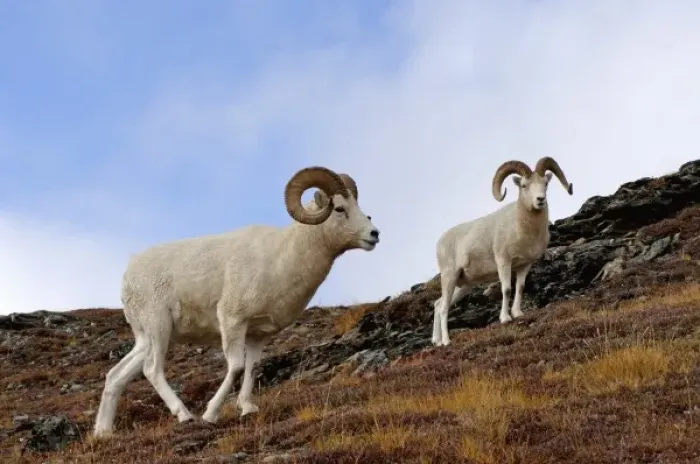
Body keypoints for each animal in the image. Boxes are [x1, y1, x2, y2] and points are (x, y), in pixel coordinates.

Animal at [92, 166, 380, 437]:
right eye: (340, 208)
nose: (374, 234)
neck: (282, 259)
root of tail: (129, 272)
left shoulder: (257, 334)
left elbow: (251, 368)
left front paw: (247, 409)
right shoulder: (232, 321)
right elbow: (236, 367)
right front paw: (211, 414)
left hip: (148, 338)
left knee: (116, 375)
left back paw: (103, 432)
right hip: (158, 328)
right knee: (152, 369)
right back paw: (185, 415)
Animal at [431, 157, 573, 347]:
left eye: (545, 183)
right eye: (524, 186)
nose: (540, 199)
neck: (521, 228)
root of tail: (440, 242)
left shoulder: (524, 265)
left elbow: (520, 288)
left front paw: (518, 313)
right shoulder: (503, 261)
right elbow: (506, 289)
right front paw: (505, 318)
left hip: (463, 285)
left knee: (438, 304)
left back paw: (437, 341)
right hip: (449, 277)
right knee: (444, 308)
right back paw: (446, 341)